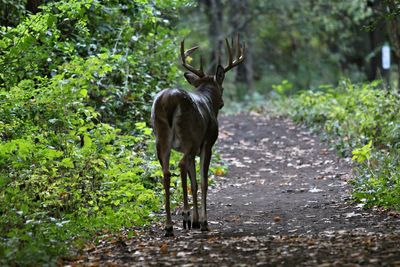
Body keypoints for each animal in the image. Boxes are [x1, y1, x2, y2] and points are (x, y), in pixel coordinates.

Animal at [150, 34, 244, 238]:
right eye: (221, 87)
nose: (222, 103)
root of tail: (168, 101)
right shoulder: (207, 143)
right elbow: (202, 181)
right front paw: (202, 222)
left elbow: (193, 181)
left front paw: (194, 220)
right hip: (189, 137)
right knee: (181, 164)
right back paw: (184, 219)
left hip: (161, 138)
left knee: (166, 173)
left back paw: (169, 226)